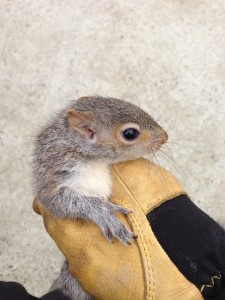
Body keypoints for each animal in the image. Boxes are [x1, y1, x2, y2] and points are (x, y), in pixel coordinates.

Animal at [32, 96, 168, 300]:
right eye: (130, 133)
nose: (165, 137)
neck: (91, 158)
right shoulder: (53, 173)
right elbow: (62, 202)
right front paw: (104, 213)